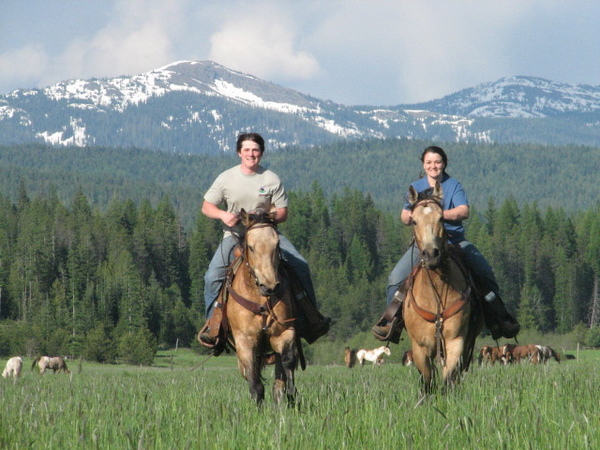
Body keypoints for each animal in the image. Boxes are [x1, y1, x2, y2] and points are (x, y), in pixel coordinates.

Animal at [220, 209, 300, 406]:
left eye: (277, 245)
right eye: (251, 247)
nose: (270, 286)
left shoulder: (284, 332)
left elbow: (287, 363)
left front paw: (292, 398)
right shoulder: (245, 341)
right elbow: (255, 382)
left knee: (278, 381)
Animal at [404, 185, 482, 392]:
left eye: (441, 218)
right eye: (414, 221)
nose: (431, 254)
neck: (436, 292)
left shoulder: (456, 341)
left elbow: (448, 379)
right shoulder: (419, 348)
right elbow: (427, 381)